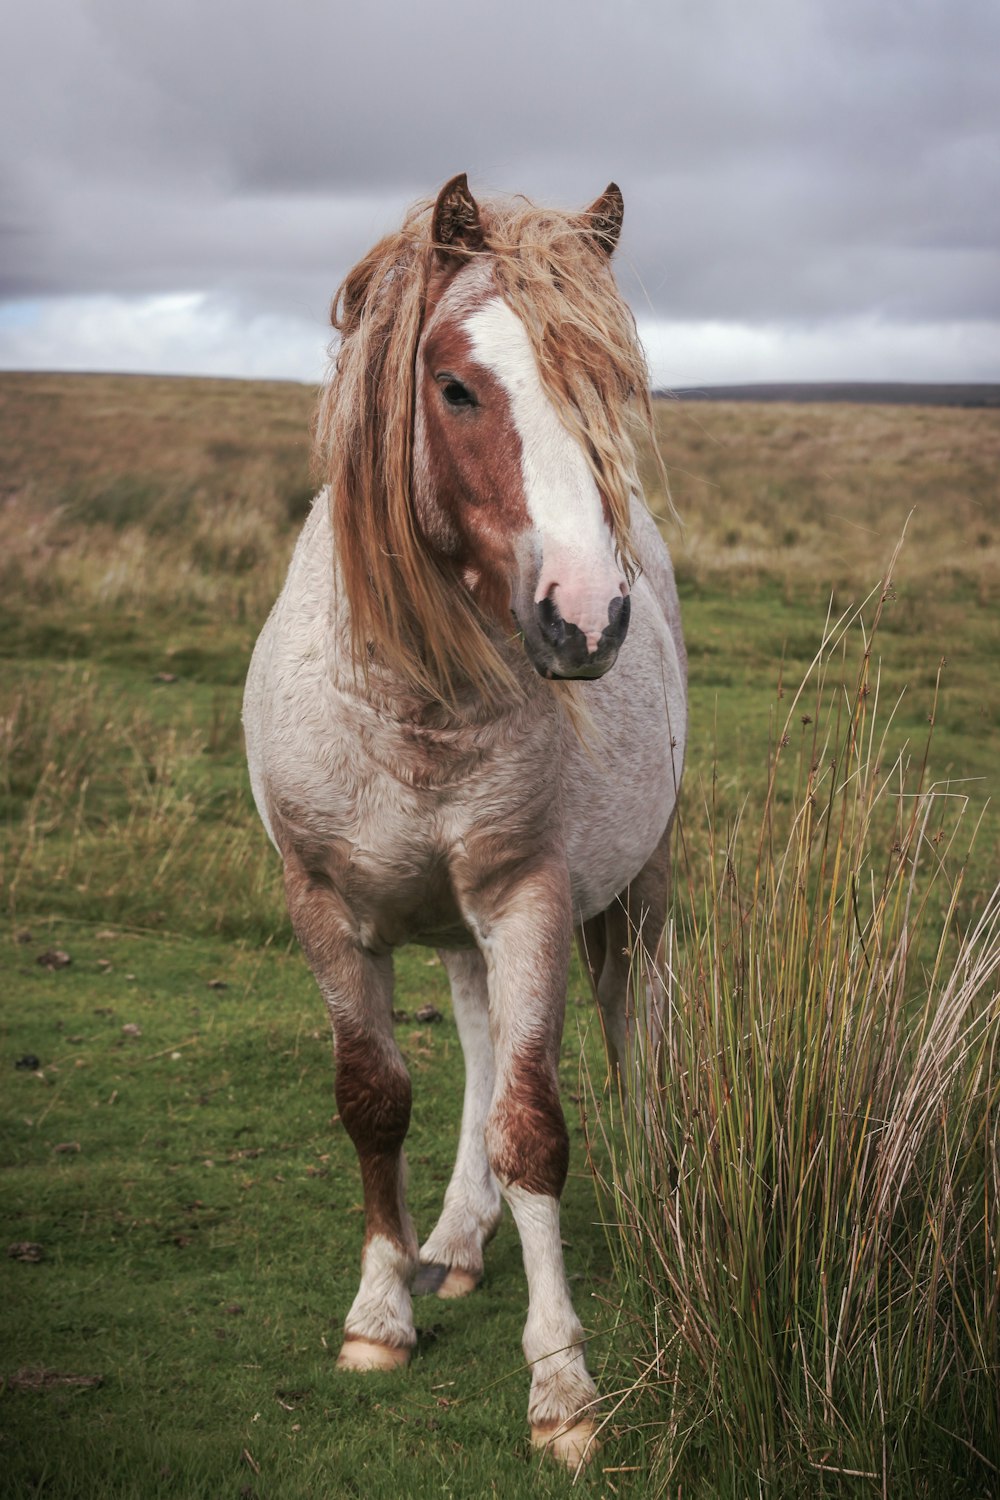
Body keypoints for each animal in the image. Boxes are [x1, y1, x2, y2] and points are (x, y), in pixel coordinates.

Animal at [244, 175, 689, 1464]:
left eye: (609, 387)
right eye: (454, 387)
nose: (587, 618)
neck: (415, 701)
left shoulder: (530, 900)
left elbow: (533, 1127)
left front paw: (563, 1389)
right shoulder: (324, 906)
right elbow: (375, 1099)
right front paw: (379, 1314)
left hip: (629, 892)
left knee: (629, 1024)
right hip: (451, 923)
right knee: (483, 1041)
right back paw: (450, 1239)